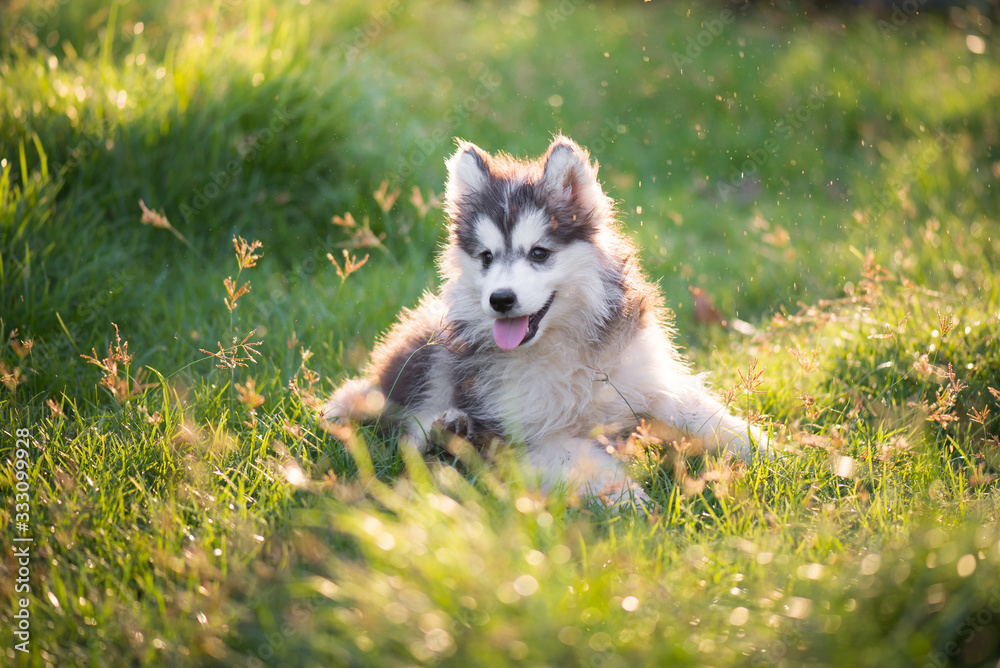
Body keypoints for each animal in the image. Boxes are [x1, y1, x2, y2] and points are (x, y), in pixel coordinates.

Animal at [324, 134, 768, 500]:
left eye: (539, 253)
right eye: (486, 257)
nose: (501, 299)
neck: (561, 344)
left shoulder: (646, 380)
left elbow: (705, 417)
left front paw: (770, 454)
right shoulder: (526, 436)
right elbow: (594, 464)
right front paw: (635, 505)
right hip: (433, 359)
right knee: (409, 436)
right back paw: (447, 430)